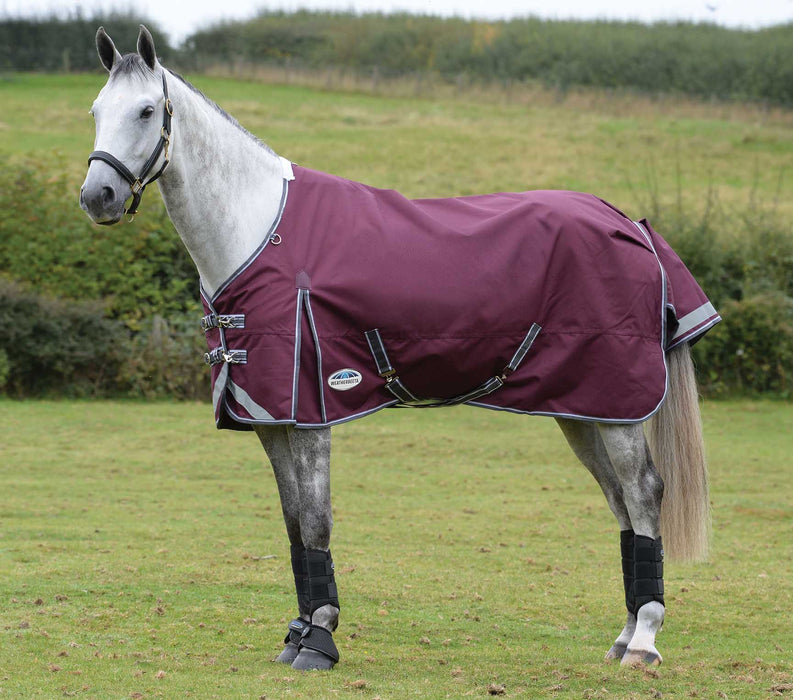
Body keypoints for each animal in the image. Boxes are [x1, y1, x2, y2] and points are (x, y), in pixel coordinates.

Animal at [80, 26, 718, 672]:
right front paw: (296, 635)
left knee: (643, 492)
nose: (97, 195)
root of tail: (629, 224)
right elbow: (293, 525)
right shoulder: (271, 418)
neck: (259, 232)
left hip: (617, 404)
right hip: (582, 406)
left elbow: (316, 522)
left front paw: (320, 642)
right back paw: (624, 636)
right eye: (96, 111)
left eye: (147, 110)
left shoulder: (310, 412)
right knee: (621, 502)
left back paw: (644, 642)